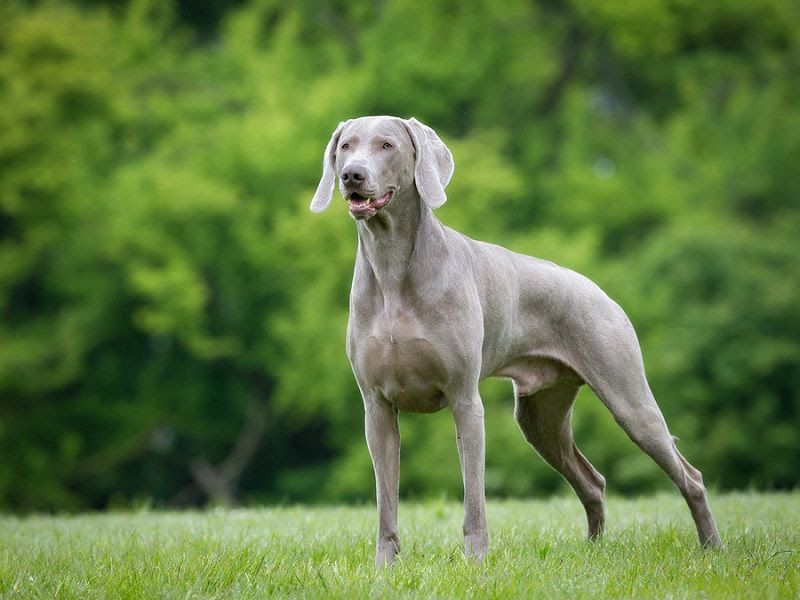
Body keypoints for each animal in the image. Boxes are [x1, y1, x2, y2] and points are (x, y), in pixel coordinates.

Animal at [310, 115, 720, 564]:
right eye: (345, 146)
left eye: (387, 145)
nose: (352, 175)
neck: (392, 267)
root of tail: (600, 290)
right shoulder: (377, 407)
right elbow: (387, 499)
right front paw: (385, 566)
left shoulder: (464, 400)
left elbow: (474, 495)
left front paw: (475, 561)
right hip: (540, 416)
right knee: (592, 480)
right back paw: (593, 551)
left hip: (629, 399)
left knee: (690, 475)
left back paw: (712, 547)